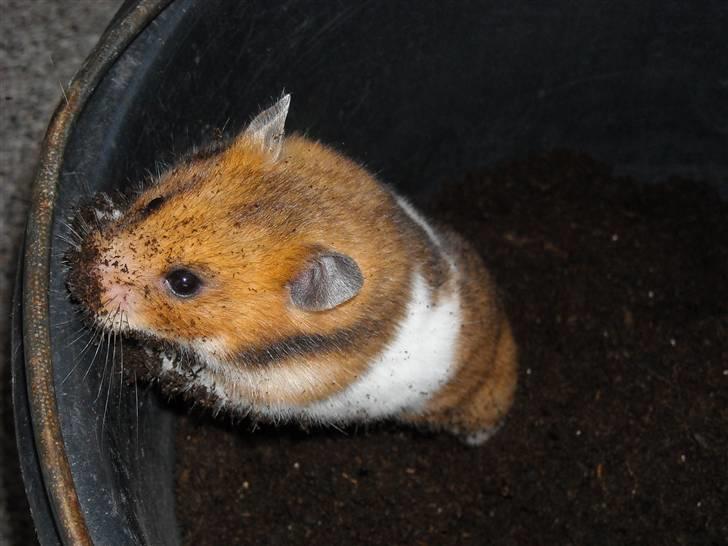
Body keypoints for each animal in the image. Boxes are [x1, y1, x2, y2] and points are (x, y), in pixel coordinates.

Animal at [66, 94, 517, 445]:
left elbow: (191, 375)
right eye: (154, 202)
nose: (77, 280)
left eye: (183, 282)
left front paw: (139, 363)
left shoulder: (257, 389)